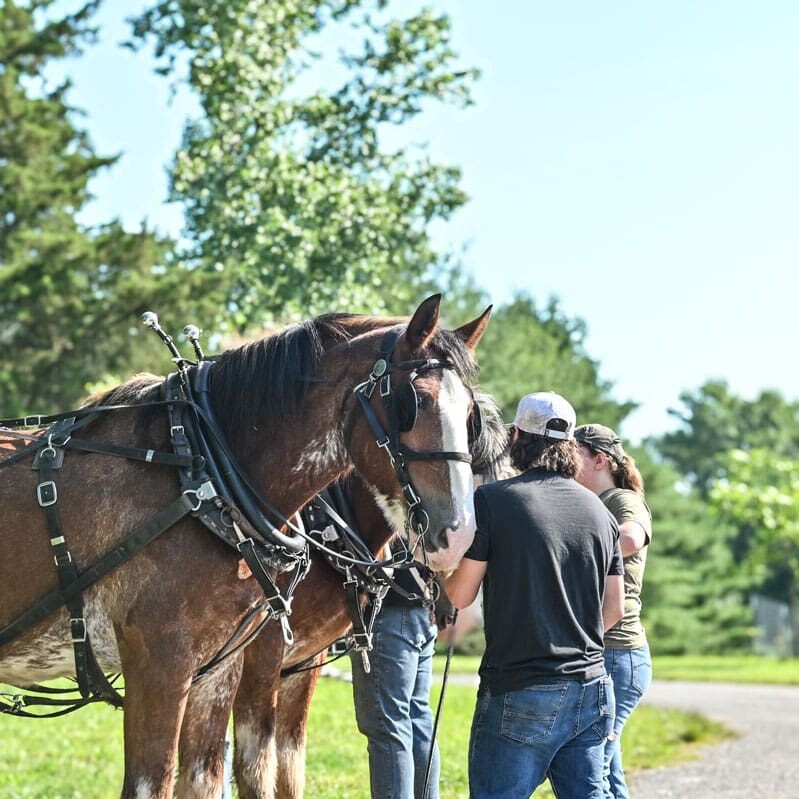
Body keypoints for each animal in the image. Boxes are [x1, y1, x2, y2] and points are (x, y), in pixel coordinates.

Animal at [0, 294, 490, 799]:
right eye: (414, 402)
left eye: (469, 415)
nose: (458, 536)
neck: (205, 475)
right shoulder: (170, 663)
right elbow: (243, 771)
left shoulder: (231, 669)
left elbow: (244, 773)